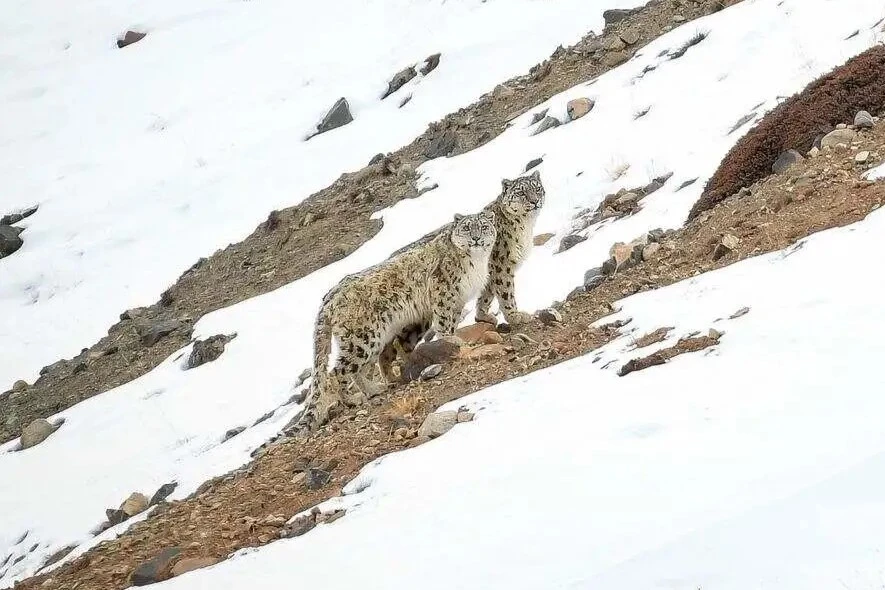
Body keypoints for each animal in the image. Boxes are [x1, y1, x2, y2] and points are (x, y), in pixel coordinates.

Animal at [297, 210, 497, 430]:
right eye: (467, 227)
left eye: (484, 227)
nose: (476, 239)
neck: (476, 263)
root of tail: (329, 297)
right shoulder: (444, 294)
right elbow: (445, 324)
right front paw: (453, 341)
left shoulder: (458, 300)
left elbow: (451, 323)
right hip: (362, 338)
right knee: (338, 371)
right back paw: (354, 399)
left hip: (373, 339)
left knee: (362, 367)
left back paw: (376, 388)